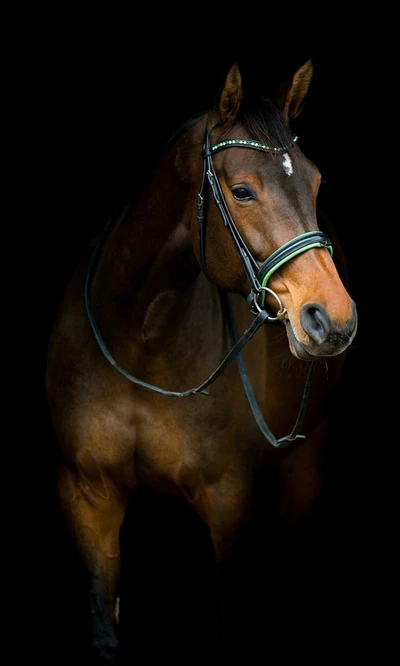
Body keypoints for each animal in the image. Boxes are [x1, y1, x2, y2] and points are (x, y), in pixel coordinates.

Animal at [46, 57, 356, 660]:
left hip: (304, 466)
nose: (333, 318)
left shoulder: (228, 504)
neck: (141, 337)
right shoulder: (87, 498)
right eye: (242, 190)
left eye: (315, 182)